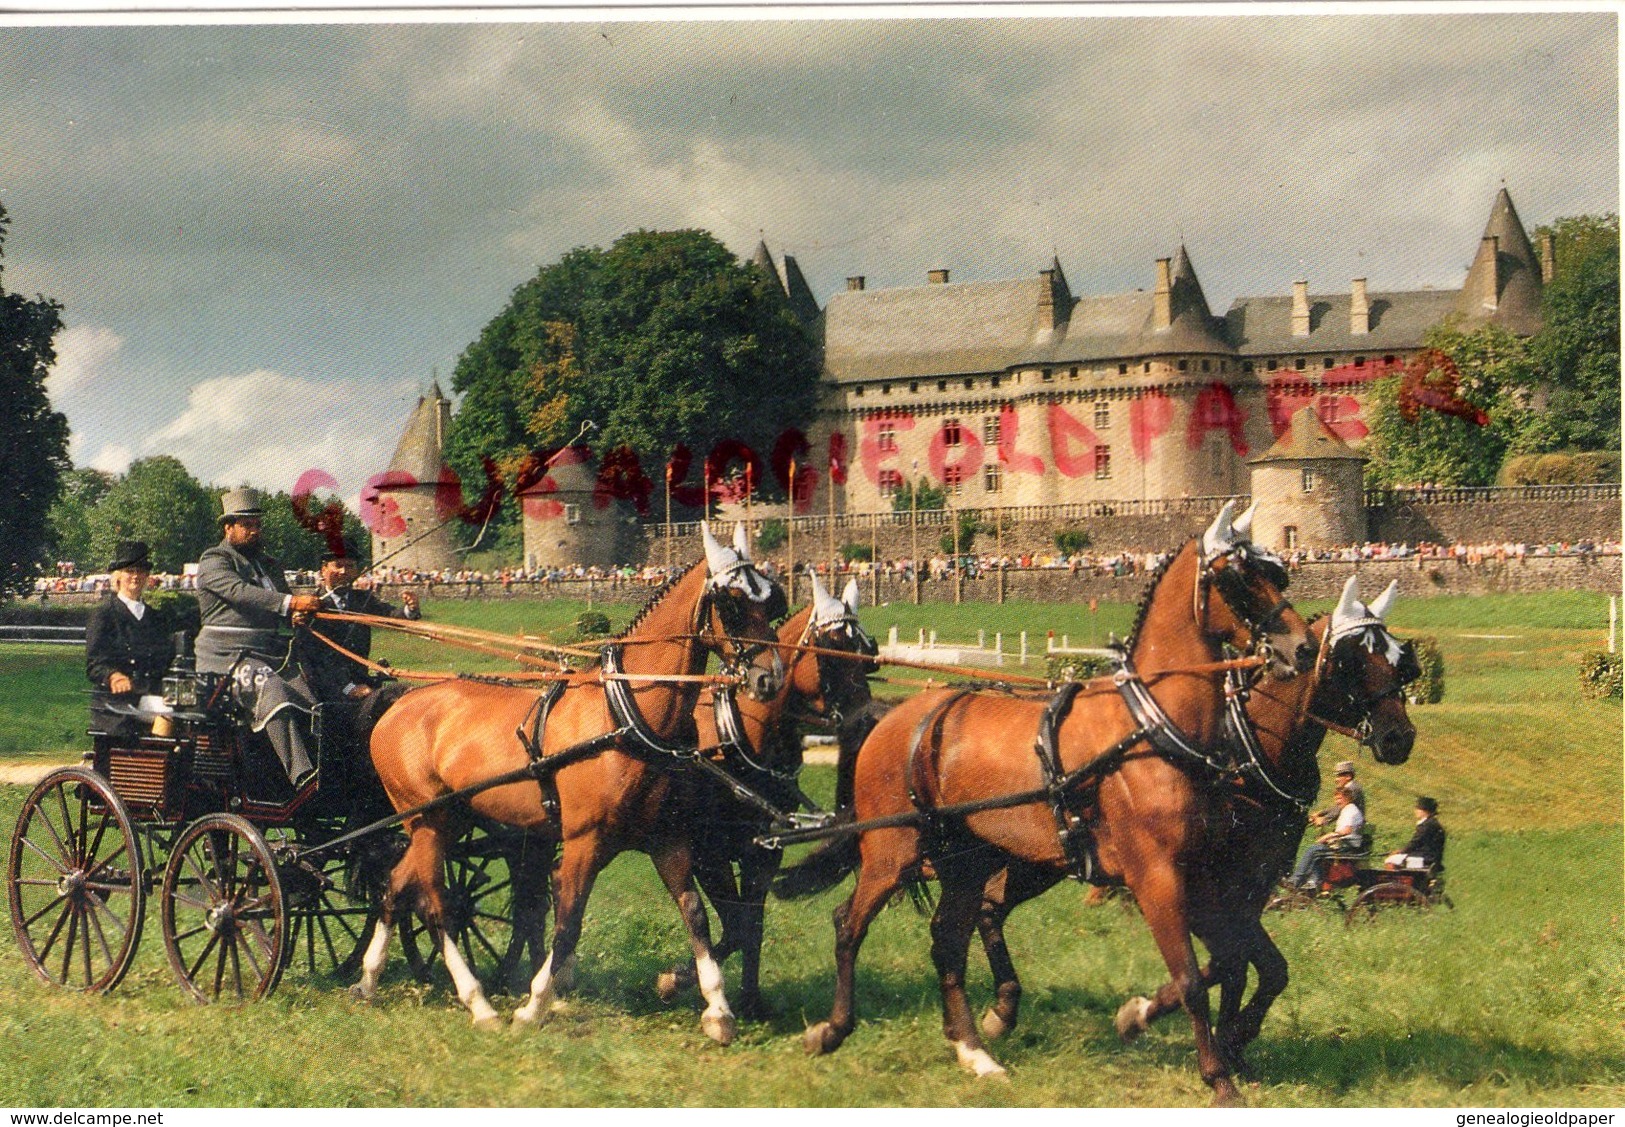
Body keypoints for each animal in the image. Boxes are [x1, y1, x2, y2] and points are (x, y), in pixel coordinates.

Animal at [354, 526, 786, 1045]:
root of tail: (396, 703)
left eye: (772, 599)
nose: (769, 678)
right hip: (427, 819)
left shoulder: (668, 839)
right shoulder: (583, 840)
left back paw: (369, 979)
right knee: (434, 901)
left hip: (449, 819)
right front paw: (534, 1004)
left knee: (397, 885)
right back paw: (478, 1002)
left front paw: (717, 1009)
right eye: (732, 603)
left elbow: (695, 914)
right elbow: (567, 921)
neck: (625, 714)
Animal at [653, 578, 877, 1019]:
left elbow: (750, 926)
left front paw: (751, 1000)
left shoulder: (763, 852)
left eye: (865, 654)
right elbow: (734, 926)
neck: (738, 741)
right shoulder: (709, 854)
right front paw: (676, 980)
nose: (867, 720)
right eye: (830, 652)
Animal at [793, 506, 1313, 1110]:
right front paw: (1219, 1079)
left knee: (947, 941)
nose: (1302, 647)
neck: (1152, 729)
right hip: (891, 853)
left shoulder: (1202, 875)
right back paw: (833, 1029)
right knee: (848, 925)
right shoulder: (1156, 877)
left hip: (965, 862)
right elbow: (1191, 979)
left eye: (1278, 573)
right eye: (1236, 578)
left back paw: (973, 1051)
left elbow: (1230, 962)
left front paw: (1156, 1023)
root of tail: (894, 715)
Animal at [968, 578, 1417, 1071]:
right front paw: (1159, 1020)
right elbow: (1233, 962)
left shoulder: (1251, 885)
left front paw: (1231, 1041)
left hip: (1036, 860)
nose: (1400, 736)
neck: (1246, 753)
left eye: (1399, 658)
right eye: (1352, 658)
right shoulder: (1203, 884)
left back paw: (1001, 1010)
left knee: (989, 907)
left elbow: (1261, 967)